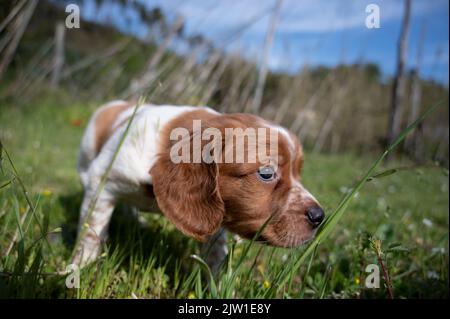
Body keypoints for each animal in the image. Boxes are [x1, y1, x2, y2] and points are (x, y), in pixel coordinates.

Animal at [74, 100, 326, 270]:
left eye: (298, 172)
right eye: (266, 173)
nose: (319, 216)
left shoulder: (218, 215)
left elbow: (215, 255)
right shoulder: (101, 181)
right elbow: (91, 231)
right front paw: (79, 268)